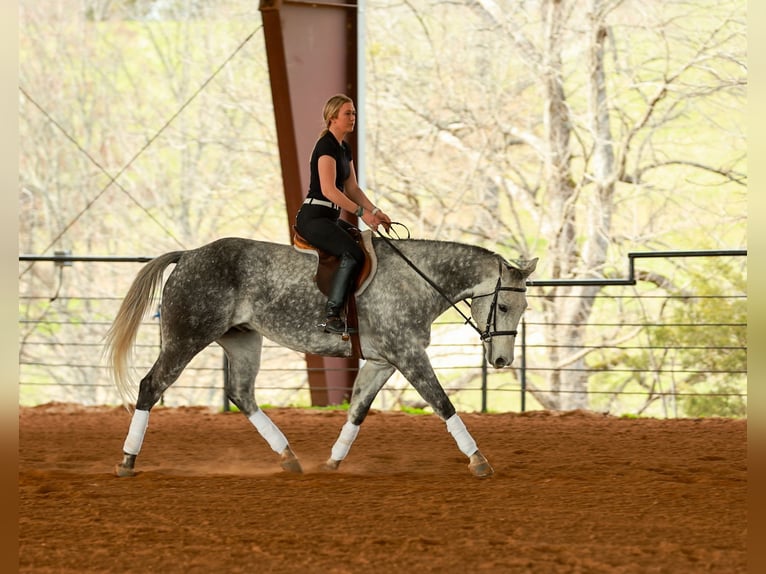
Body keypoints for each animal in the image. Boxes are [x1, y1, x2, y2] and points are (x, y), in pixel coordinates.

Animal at [105, 234, 538, 478]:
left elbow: (357, 412)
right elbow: (444, 405)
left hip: (243, 341)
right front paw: (479, 461)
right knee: (151, 385)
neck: (415, 280)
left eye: (524, 309)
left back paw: (289, 458)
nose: (502, 361)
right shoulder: (408, 355)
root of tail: (191, 254)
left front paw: (332, 464)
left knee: (242, 394)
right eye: (502, 307)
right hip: (187, 337)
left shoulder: (382, 362)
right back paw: (127, 460)